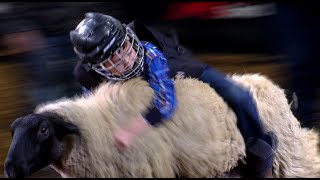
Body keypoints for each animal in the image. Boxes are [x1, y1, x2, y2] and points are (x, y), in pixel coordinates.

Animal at [4, 74, 320, 178]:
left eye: (43, 130)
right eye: (13, 131)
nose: (9, 168)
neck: (101, 125)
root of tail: (270, 85)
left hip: (287, 157)